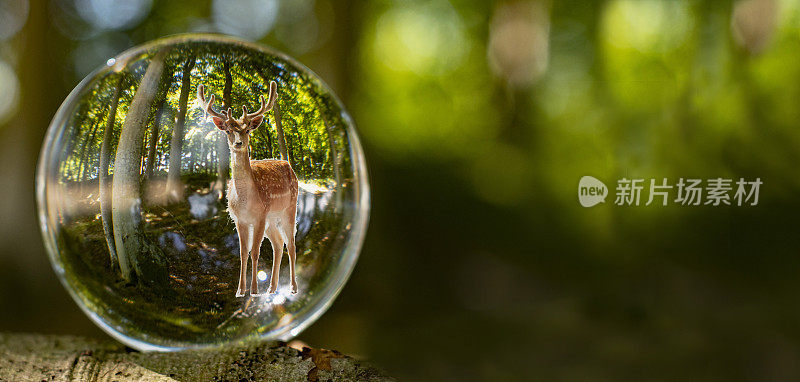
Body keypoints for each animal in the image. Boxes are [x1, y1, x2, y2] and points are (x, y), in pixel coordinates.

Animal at [197, 82, 300, 296]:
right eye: (228, 130)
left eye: (247, 130)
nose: (238, 143)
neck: (245, 200)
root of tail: (289, 166)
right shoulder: (240, 219)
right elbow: (243, 252)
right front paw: (239, 290)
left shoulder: (260, 216)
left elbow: (255, 251)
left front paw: (253, 290)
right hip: (271, 218)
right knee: (278, 243)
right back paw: (272, 288)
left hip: (289, 207)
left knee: (291, 243)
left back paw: (293, 287)